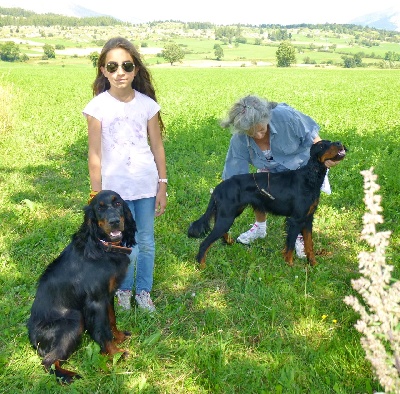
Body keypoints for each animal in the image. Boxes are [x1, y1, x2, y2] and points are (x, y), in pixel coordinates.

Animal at [27, 191, 136, 384]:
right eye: (100, 208)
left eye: (118, 204)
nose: (115, 221)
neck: (102, 247)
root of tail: (32, 336)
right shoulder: (95, 301)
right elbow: (103, 330)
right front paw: (115, 353)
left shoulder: (107, 295)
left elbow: (112, 320)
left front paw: (119, 337)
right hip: (74, 319)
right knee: (48, 362)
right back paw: (69, 376)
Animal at [188, 139, 346, 268]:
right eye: (322, 145)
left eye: (331, 141)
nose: (339, 143)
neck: (310, 177)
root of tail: (218, 187)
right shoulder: (296, 220)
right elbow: (290, 245)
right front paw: (289, 265)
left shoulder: (308, 219)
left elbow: (309, 244)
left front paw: (313, 264)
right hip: (227, 217)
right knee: (204, 243)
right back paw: (202, 265)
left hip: (230, 214)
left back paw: (230, 242)